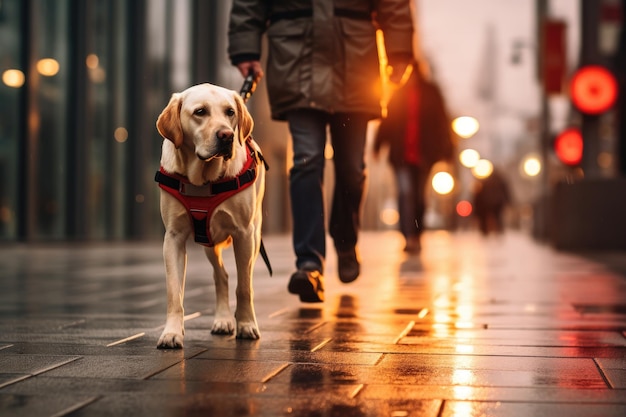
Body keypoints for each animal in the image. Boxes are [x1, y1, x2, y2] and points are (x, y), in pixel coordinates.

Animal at [155, 82, 266, 348]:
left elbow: (244, 287)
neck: (202, 180)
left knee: (240, 278)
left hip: (255, 237)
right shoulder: (173, 238)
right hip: (208, 240)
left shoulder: (243, 235)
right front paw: (171, 332)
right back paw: (223, 319)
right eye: (200, 112)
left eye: (230, 112)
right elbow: (174, 291)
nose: (226, 135)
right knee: (222, 276)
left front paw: (246, 325)